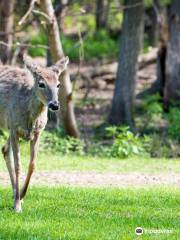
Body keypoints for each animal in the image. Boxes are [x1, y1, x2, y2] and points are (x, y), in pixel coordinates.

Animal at [0, 54, 69, 212]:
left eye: (58, 84)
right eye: (41, 84)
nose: (54, 105)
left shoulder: (37, 133)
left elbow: (32, 164)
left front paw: (21, 196)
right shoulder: (14, 129)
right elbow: (18, 165)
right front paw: (17, 205)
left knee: (4, 149)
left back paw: (15, 193)